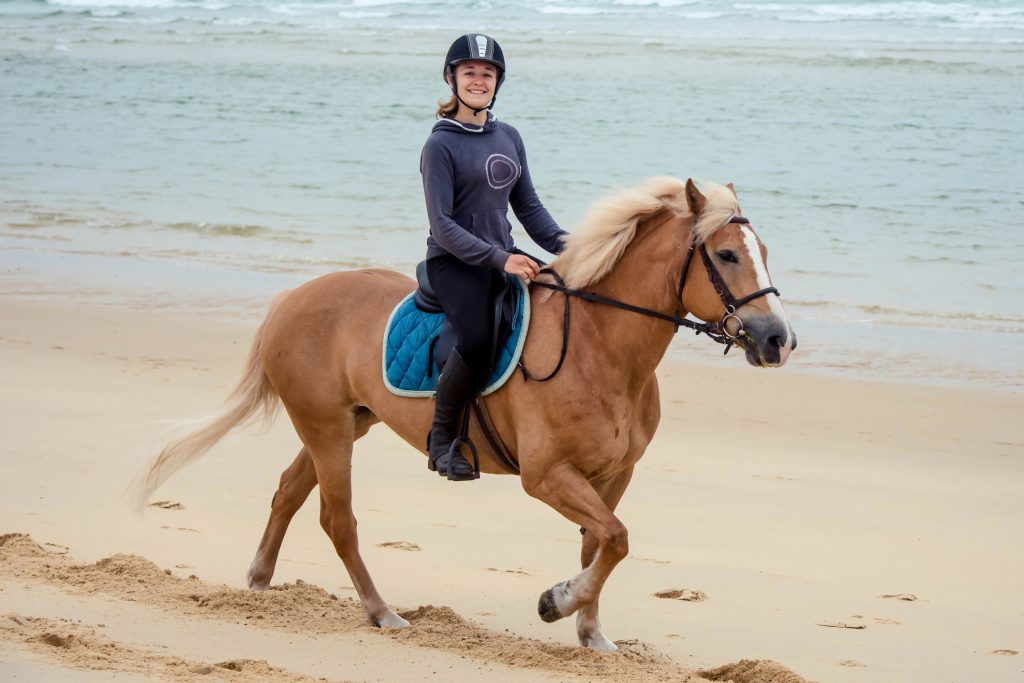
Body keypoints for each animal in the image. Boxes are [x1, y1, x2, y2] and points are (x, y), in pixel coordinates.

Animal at [134, 176, 790, 651]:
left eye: (762, 252)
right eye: (727, 255)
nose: (779, 340)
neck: (600, 346)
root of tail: (291, 298)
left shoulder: (613, 475)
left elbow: (601, 544)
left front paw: (589, 632)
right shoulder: (546, 476)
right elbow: (616, 538)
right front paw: (555, 603)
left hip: (348, 422)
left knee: (289, 491)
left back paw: (260, 581)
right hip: (327, 429)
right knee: (337, 519)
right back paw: (382, 613)